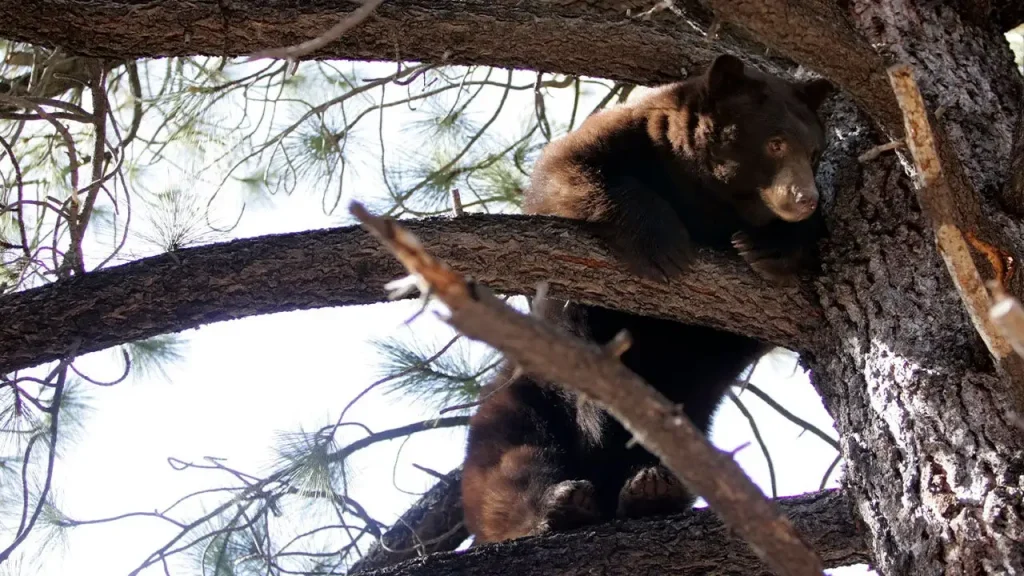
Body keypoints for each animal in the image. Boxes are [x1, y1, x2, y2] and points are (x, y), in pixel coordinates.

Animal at [459, 54, 835, 544]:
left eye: (814, 152)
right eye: (775, 143)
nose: (804, 197)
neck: (707, 198)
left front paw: (770, 247)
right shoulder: (633, 137)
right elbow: (562, 172)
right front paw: (663, 243)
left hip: (690, 417)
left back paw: (651, 488)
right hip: (527, 397)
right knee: (511, 464)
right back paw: (560, 503)